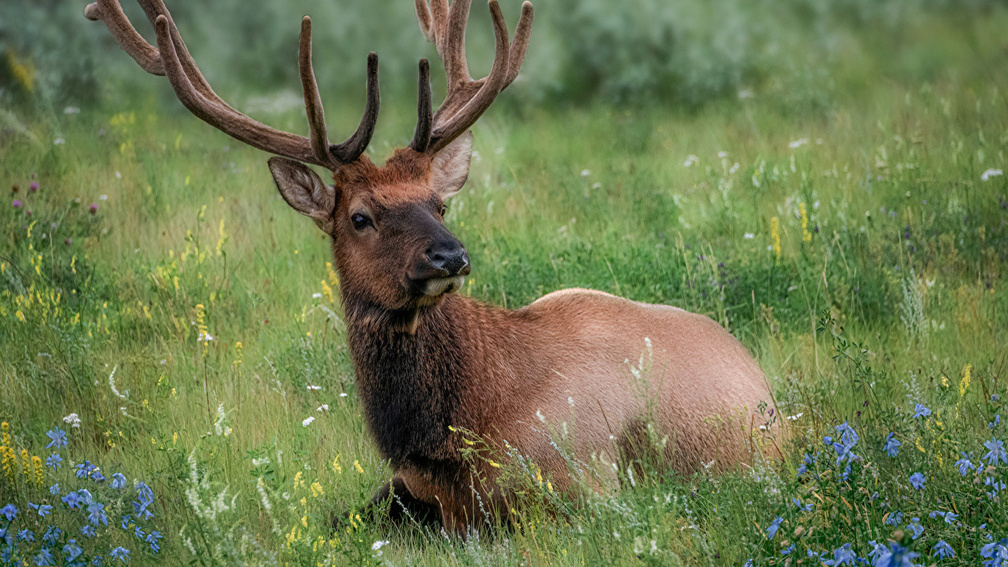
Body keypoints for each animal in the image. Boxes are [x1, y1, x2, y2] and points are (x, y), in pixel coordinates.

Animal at [86, 0, 778, 532]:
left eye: (438, 201)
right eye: (359, 216)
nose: (450, 254)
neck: (453, 437)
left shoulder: (591, 480)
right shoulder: (405, 488)